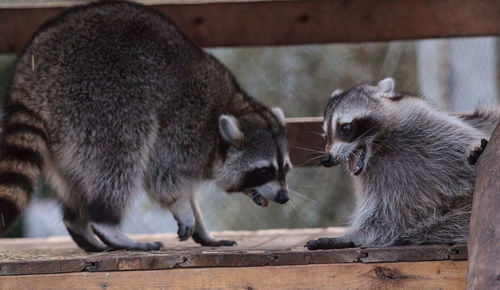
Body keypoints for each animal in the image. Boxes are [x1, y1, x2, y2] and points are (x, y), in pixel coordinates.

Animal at [0, 0, 292, 251]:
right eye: (264, 170)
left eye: (285, 169)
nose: (284, 197)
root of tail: (32, 72)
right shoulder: (185, 125)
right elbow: (160, 173)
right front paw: (182, 206)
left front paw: (201, 227)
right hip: (97, 99)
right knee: (120, 154)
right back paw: (107, 223)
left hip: (64, 132)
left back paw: (78, 224)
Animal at [306, 77, 498, 249]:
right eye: (325, 136)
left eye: (345, 128)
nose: (327, 159)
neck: (380, 146)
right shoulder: (375, 179)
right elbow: (380, 214)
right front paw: (355, 235)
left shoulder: (435, 129)